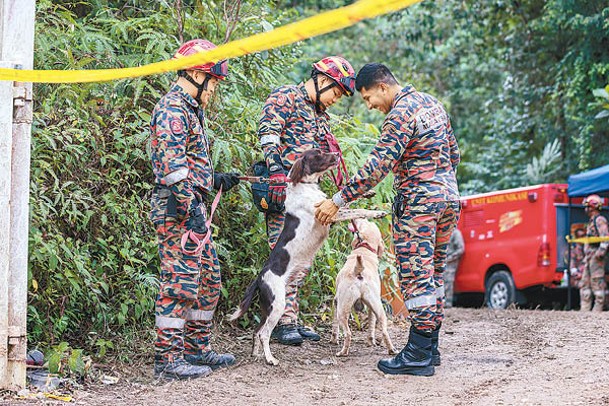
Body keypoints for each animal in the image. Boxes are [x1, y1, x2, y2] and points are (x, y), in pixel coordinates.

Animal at [230, 149, 340, 364]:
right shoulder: (327, 215)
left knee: (257, 331)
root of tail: (259, 279)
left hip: (268, 308)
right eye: (318, 154)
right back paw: (270, 359)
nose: (337, 154)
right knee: (265, 333)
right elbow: (355, 211)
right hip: (278, 305)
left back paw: (256, 354)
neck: (305, 187)